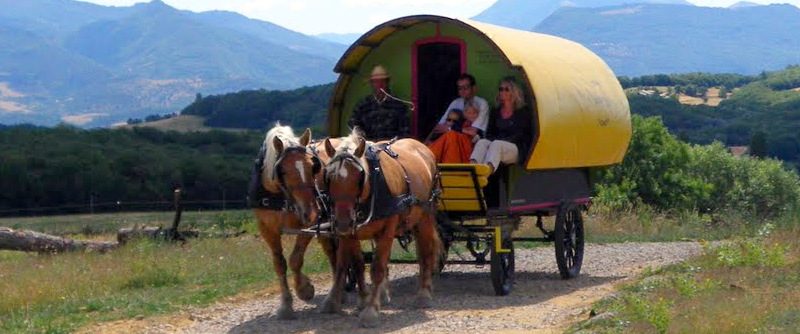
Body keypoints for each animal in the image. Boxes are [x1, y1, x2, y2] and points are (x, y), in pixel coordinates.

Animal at [322, 129, 440, 328]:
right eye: (329, 177)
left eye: (359, 176)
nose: (343, 221)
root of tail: (423, 148)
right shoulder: (348, 234)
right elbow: (344, 265)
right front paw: (333, 301)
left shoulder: (387, 230)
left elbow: (377, 268)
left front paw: (370, 311)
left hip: (425, 216)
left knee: (426, 252)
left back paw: (424, 294)